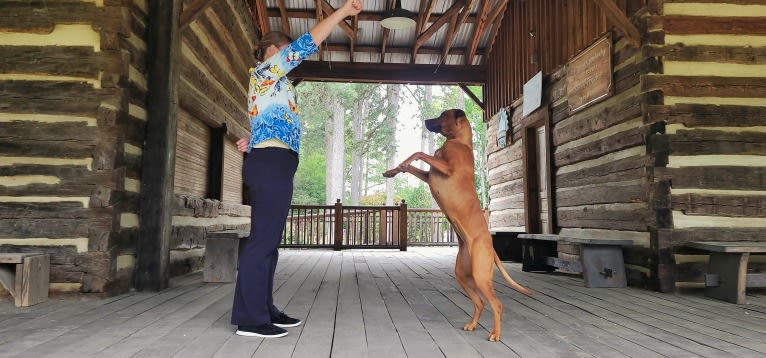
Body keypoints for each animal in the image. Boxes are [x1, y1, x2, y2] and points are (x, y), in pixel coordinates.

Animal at [384, 108, 536, 342]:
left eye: (442, 115)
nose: (426, 120)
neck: (458, 142)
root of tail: (490, 248)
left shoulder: (446, 168)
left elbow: (419, 153)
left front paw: (402, 163)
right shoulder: (429, 174)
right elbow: (413, 166)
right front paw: (393, 170)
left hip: (481, 276)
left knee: (497, 304)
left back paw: (495, 334)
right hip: (463, 275)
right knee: (480, 302)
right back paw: (472, 325)